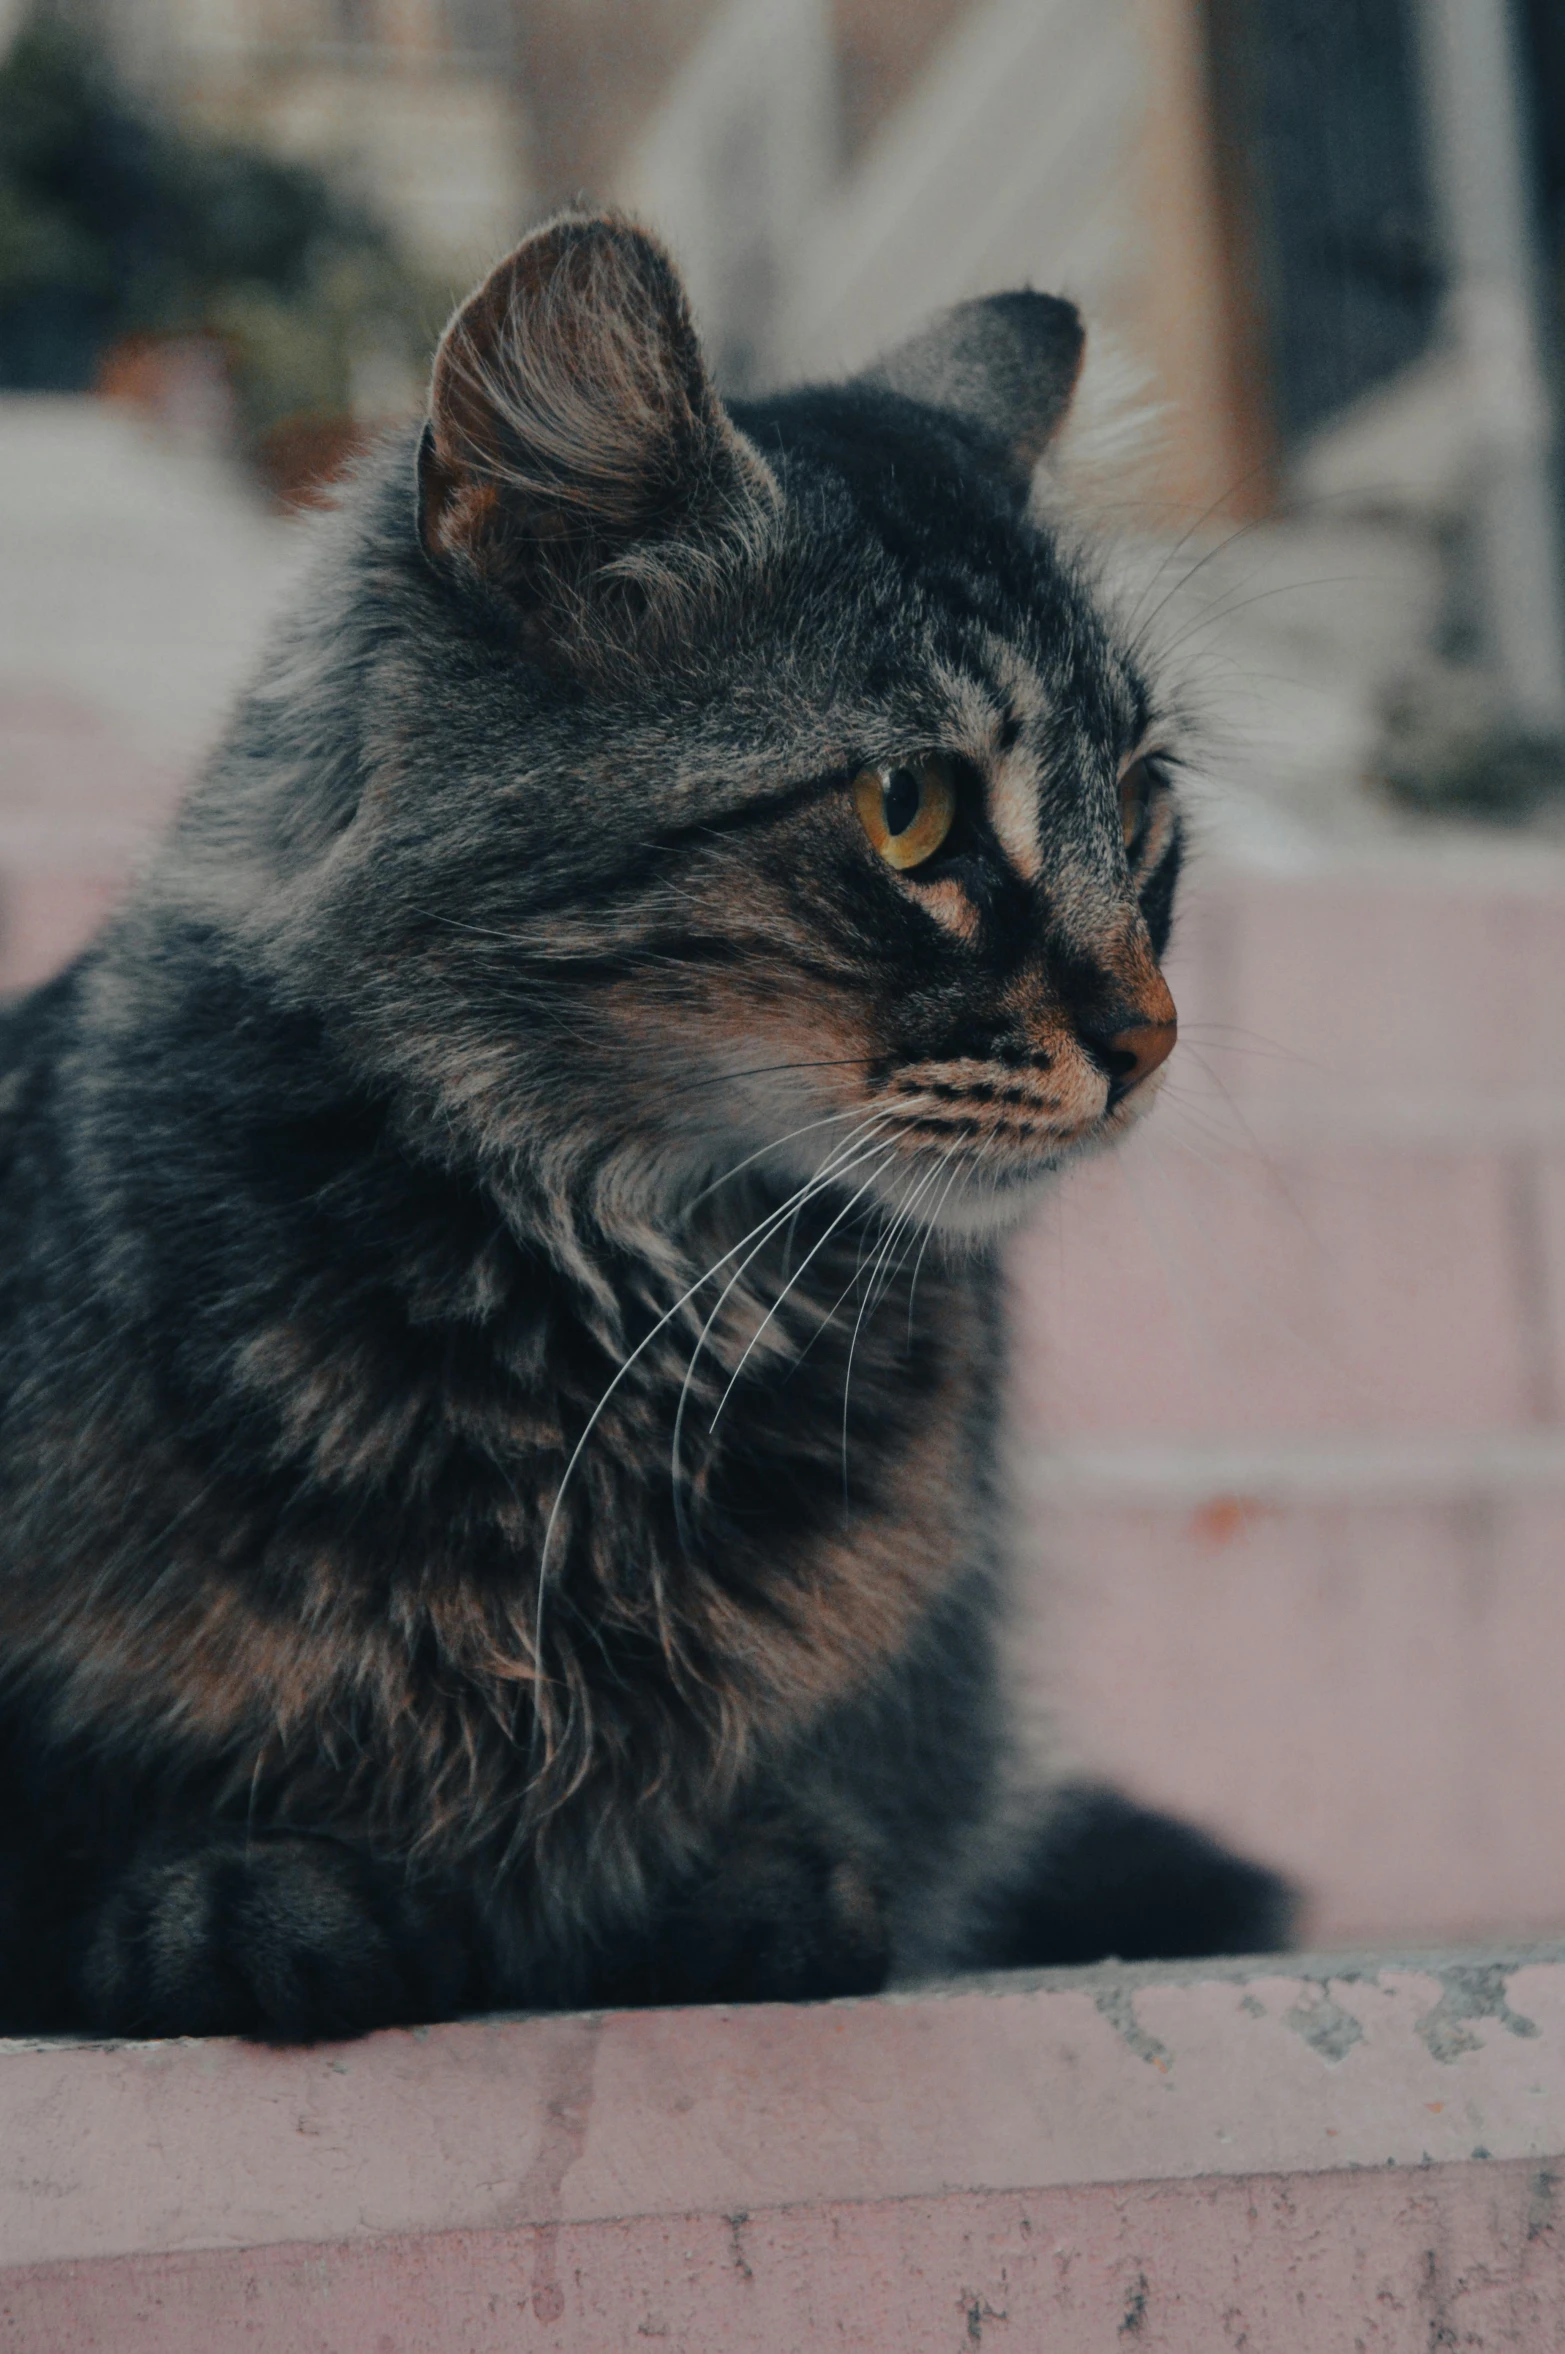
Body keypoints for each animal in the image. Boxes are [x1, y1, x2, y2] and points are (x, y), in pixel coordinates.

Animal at [0, 211, 1289, 2033]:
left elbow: (825, 1840)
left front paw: (740, 1901)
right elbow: (111, 1849)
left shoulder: (910, 1717)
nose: (1150, 1038)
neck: (623, 1332)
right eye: (912, 812)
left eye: (1138, 800)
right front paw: (252, 1902)